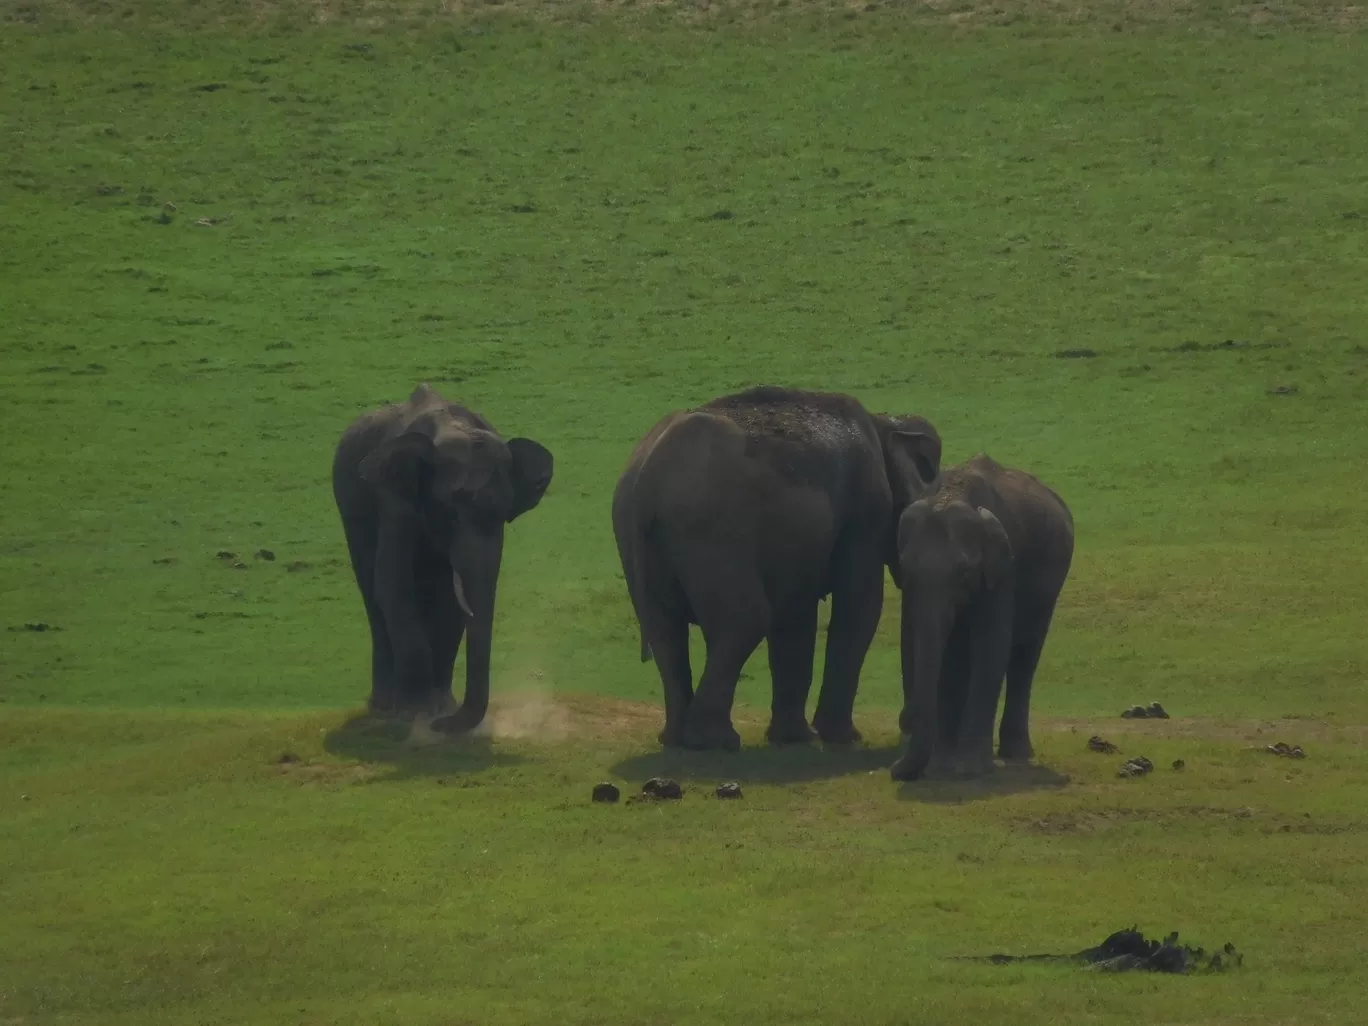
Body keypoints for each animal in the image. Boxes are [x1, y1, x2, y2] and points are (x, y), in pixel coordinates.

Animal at [333, 385, 552, 733]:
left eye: (504, 515)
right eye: (451, 512)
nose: (441, 725)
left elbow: (453, 602)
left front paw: (439, 709)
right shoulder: (394, 497)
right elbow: (392, 583)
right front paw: (418, 714)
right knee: (371, 591)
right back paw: (384, 708)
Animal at [615, 385, 946, 755]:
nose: (906, 729)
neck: (884, 421)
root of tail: (646, 478)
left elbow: (795, 617)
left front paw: (796, 739)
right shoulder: (867, 507)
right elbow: (859, 604)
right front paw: (842, 738)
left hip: (637, 537)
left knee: (665, 631)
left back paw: (676, 739)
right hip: (711, 533)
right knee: (746, 619)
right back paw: (715, 741)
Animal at [891, 454, 1072, 782]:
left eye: (964, 572)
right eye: (905, 568)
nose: (894, 769)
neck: (952, 492)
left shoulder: (1003, 570)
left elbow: (991, 647)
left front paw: (969, 770)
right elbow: (948, 657)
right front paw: (941, 767)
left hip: (1048, 593)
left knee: (1025, 657)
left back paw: (1016, 754)